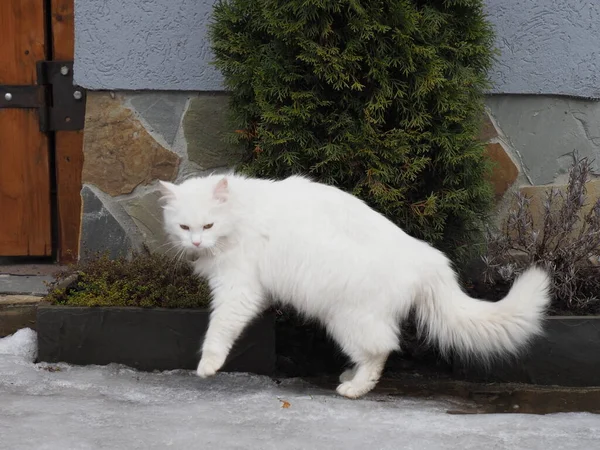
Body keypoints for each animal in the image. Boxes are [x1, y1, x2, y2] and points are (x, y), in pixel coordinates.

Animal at [158, 174, 548, 400]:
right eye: (184, 227)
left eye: (208, 226)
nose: (195, 243)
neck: (241, 212)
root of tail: (427, 257)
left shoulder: (238, 288)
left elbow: (219, 328)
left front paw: (208, 365)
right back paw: (351, 375)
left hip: (346, 316)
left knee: (381, 352)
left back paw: (355, 388)